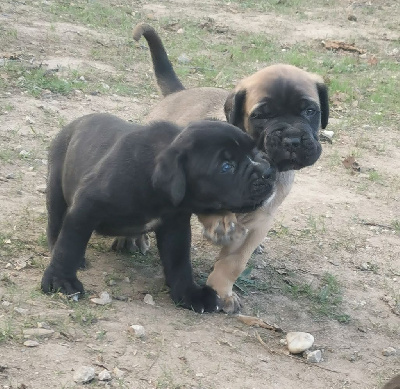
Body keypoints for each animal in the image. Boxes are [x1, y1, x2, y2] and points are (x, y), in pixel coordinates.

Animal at [42, 113, 276, 312]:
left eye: (254, 152)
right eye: (226, 167)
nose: (268, 171)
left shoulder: (175, 226)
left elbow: (179, 262)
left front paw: (190, 294)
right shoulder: (85, 206)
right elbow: (69, 245)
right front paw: (61, 280)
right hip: (57, 189)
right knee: (56, 225)